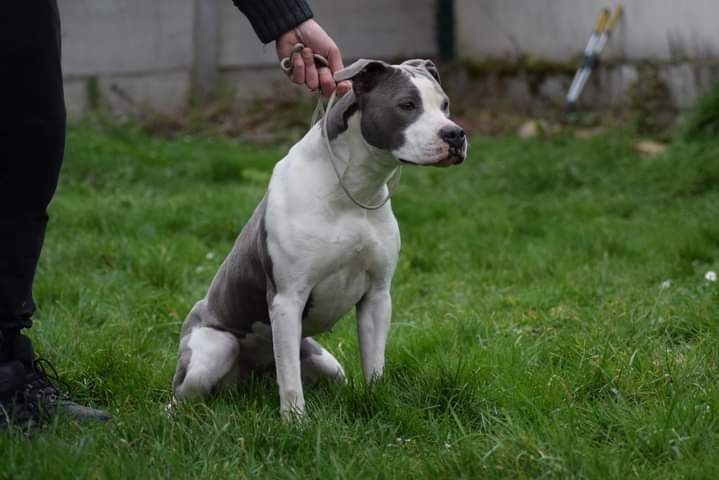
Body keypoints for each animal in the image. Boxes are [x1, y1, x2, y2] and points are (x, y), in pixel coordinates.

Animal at [172, 58, 470, 418]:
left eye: (445, 105)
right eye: (407, 105)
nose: (455, 133)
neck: (354, 188)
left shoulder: (377, 295)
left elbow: (374, 362)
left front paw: (376, 401)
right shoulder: (287, 298)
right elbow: (289, 380)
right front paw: (295, 422)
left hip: (326, 363)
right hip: (213, 350)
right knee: (181, 397)